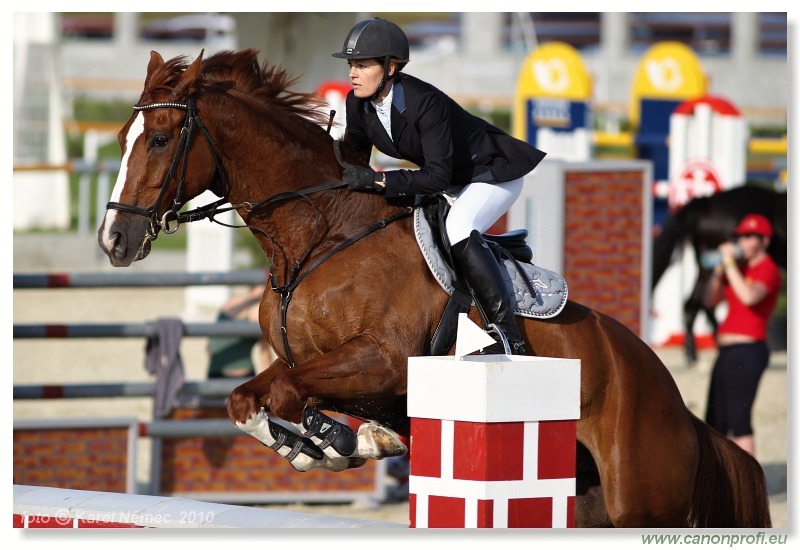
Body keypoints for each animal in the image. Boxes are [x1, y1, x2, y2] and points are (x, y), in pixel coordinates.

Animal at [97, 50, 772, 532]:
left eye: (160, 139)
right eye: (124, 135)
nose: (113, 240)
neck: (316, 236)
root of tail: (678, 406)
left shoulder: (386, 360)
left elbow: (284, 391)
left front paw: (334, 444)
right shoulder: (317, 363)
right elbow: (253, 398)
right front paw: (340, 440)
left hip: (641, 497)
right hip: (588, 504)